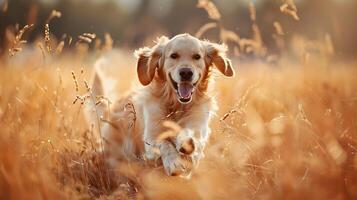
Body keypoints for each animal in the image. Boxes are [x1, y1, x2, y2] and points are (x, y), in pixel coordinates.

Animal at [85, 33, 232, 177]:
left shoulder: (198, 127)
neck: (177, 106)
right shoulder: (151, 137)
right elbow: (164, 144)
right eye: (174, 56)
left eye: (197, 57)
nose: (186, 73)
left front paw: (185, 144)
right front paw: (174, 163)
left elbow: (189, 136)